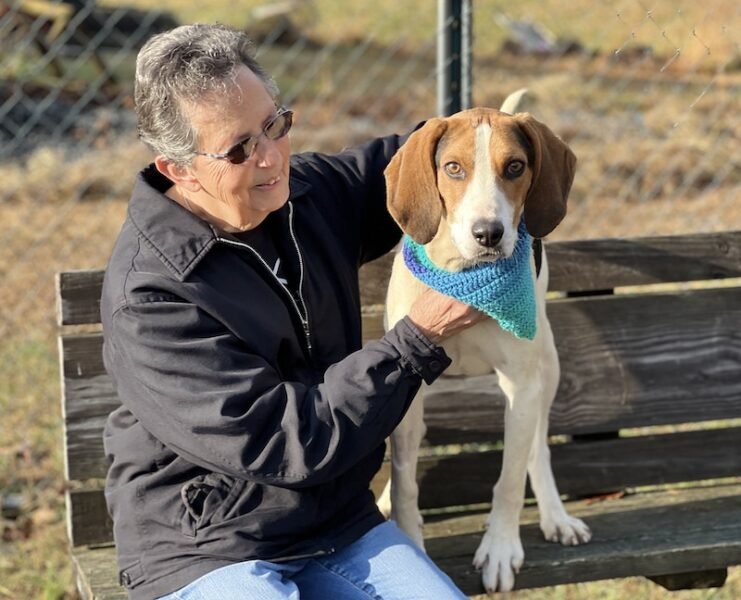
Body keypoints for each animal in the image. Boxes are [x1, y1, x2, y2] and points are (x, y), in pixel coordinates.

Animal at [378, 95, 592, 593]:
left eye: (515, 167)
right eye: (453, 168)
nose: (488, 234)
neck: (465, 277)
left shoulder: (522, 387)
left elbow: (510, 478)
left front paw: (499, 548)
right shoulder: (406, 390)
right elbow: (405, 480)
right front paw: (410, 541)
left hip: (547, 365)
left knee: (537, 449)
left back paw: (555, 515)